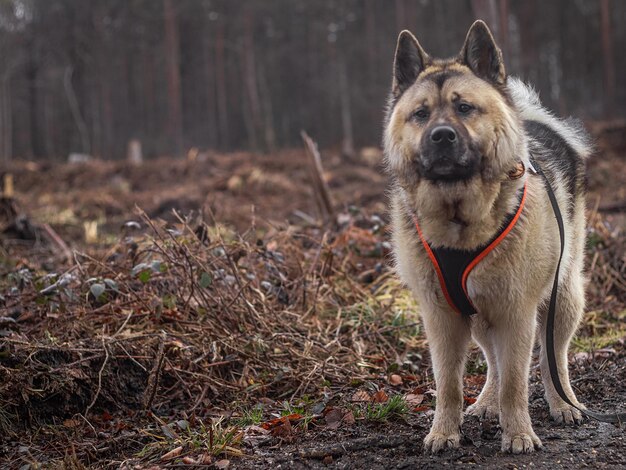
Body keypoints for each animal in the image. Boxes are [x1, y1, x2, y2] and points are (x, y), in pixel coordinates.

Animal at [382, 20, 592, 454]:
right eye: (421, 114)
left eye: (464, 108)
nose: (441, 136)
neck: (460, 222)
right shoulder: (443, 318)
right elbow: (449, 384)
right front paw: (444, 431)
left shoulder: (516, 314)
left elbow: (516, 382)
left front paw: (519, 434)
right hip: (479, 314)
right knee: (494, 362)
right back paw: (486, 402)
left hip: (562, 296)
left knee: (553, 356)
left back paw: (563, 403)